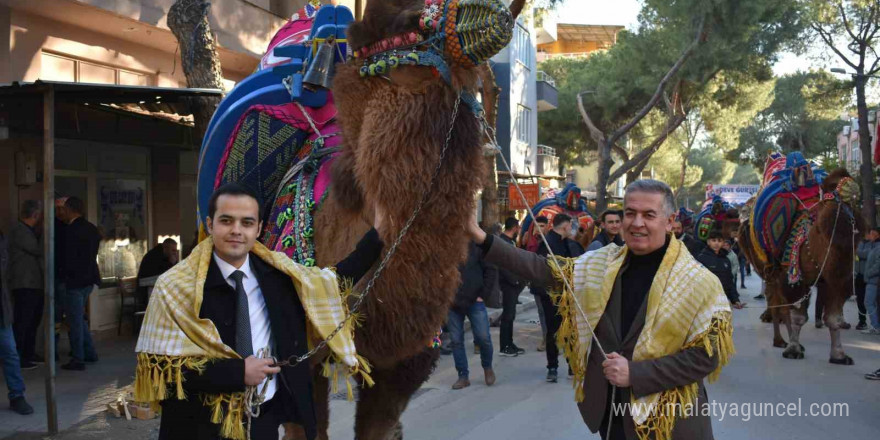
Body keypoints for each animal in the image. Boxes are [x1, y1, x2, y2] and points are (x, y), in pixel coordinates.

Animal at [740, 169, 864, 364]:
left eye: (856, 232)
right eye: (820, 229)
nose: (842, 267)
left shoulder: (836, 282)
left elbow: (833, 318)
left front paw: (839, 355)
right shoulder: (795, 279)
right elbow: (798, 317)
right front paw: (793, 349)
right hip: (770, 271)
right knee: (778, 304)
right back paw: (780, 340)